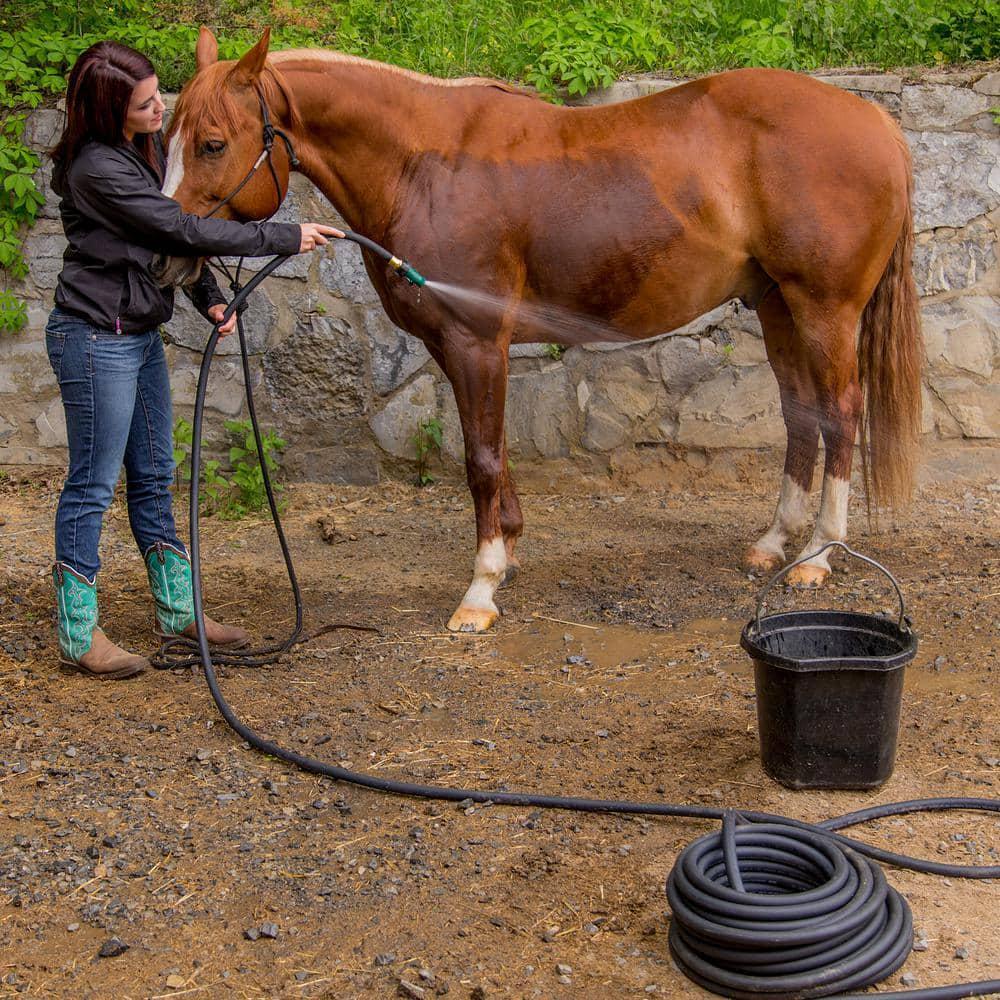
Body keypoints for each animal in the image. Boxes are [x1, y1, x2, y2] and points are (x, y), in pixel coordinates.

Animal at [164, 31, 920, 632]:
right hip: (776, 306)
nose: (170, 252)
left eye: (212, 143)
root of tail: (877, 120)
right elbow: (493, 449)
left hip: (824, 309)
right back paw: (774, 543)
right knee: (802, 416)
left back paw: (818, 556)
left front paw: (480, 589)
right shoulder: (454, 345)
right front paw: (510, 550)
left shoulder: (476, 340)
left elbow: (480, 459)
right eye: (164, 139)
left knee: (840, 414)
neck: (425, 164)